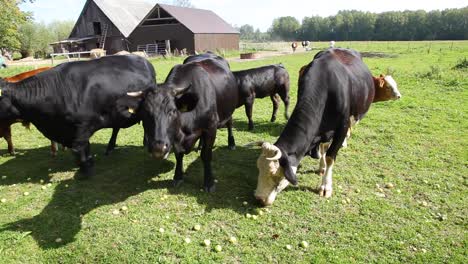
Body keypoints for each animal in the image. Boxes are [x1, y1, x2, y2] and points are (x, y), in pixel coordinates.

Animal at [0, 55, 157, 178]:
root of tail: (143, 59)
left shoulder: (82, 127)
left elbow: (78, 148)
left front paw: (86, 168)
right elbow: (85, 147)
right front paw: (89, 161)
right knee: (117, 127)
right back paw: (111, 147)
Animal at [120, 55, 238, 192]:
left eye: (172, 111)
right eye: (145, 113)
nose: (158, 148)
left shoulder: (210, 128)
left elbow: (206, 155)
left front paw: (209, 182)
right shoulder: (174, 136)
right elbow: (178, 155)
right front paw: (178, 176)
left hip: (228, 112)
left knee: (229, 124)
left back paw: (231, 143)